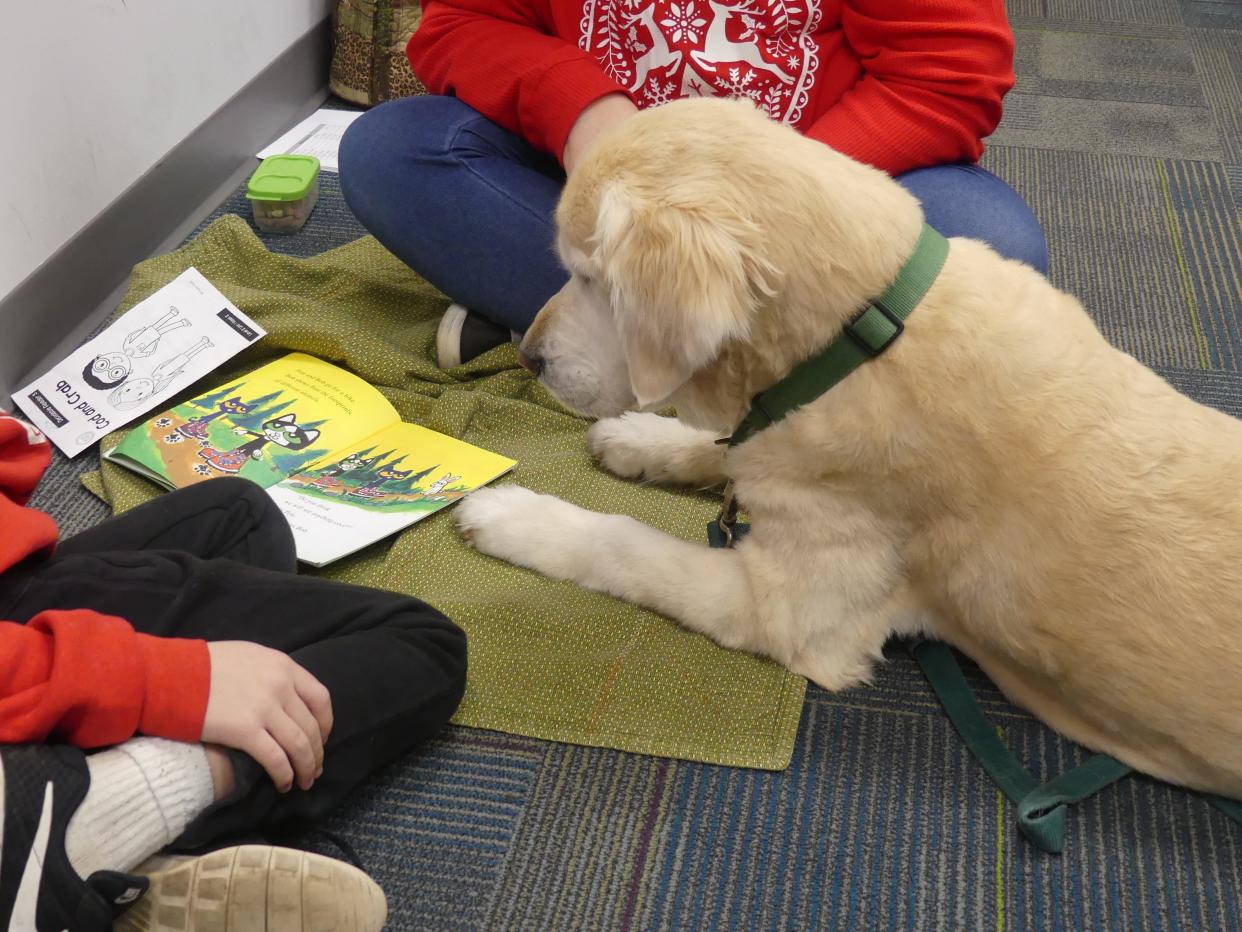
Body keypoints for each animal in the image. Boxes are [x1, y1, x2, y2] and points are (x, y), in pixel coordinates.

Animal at [457, 96, 1242, 805]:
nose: (528, 357)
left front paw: (513, 517)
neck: (857, 339)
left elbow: (622, 542)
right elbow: (724, 449)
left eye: (592, 277)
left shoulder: (780, 609)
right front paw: (639, 437)